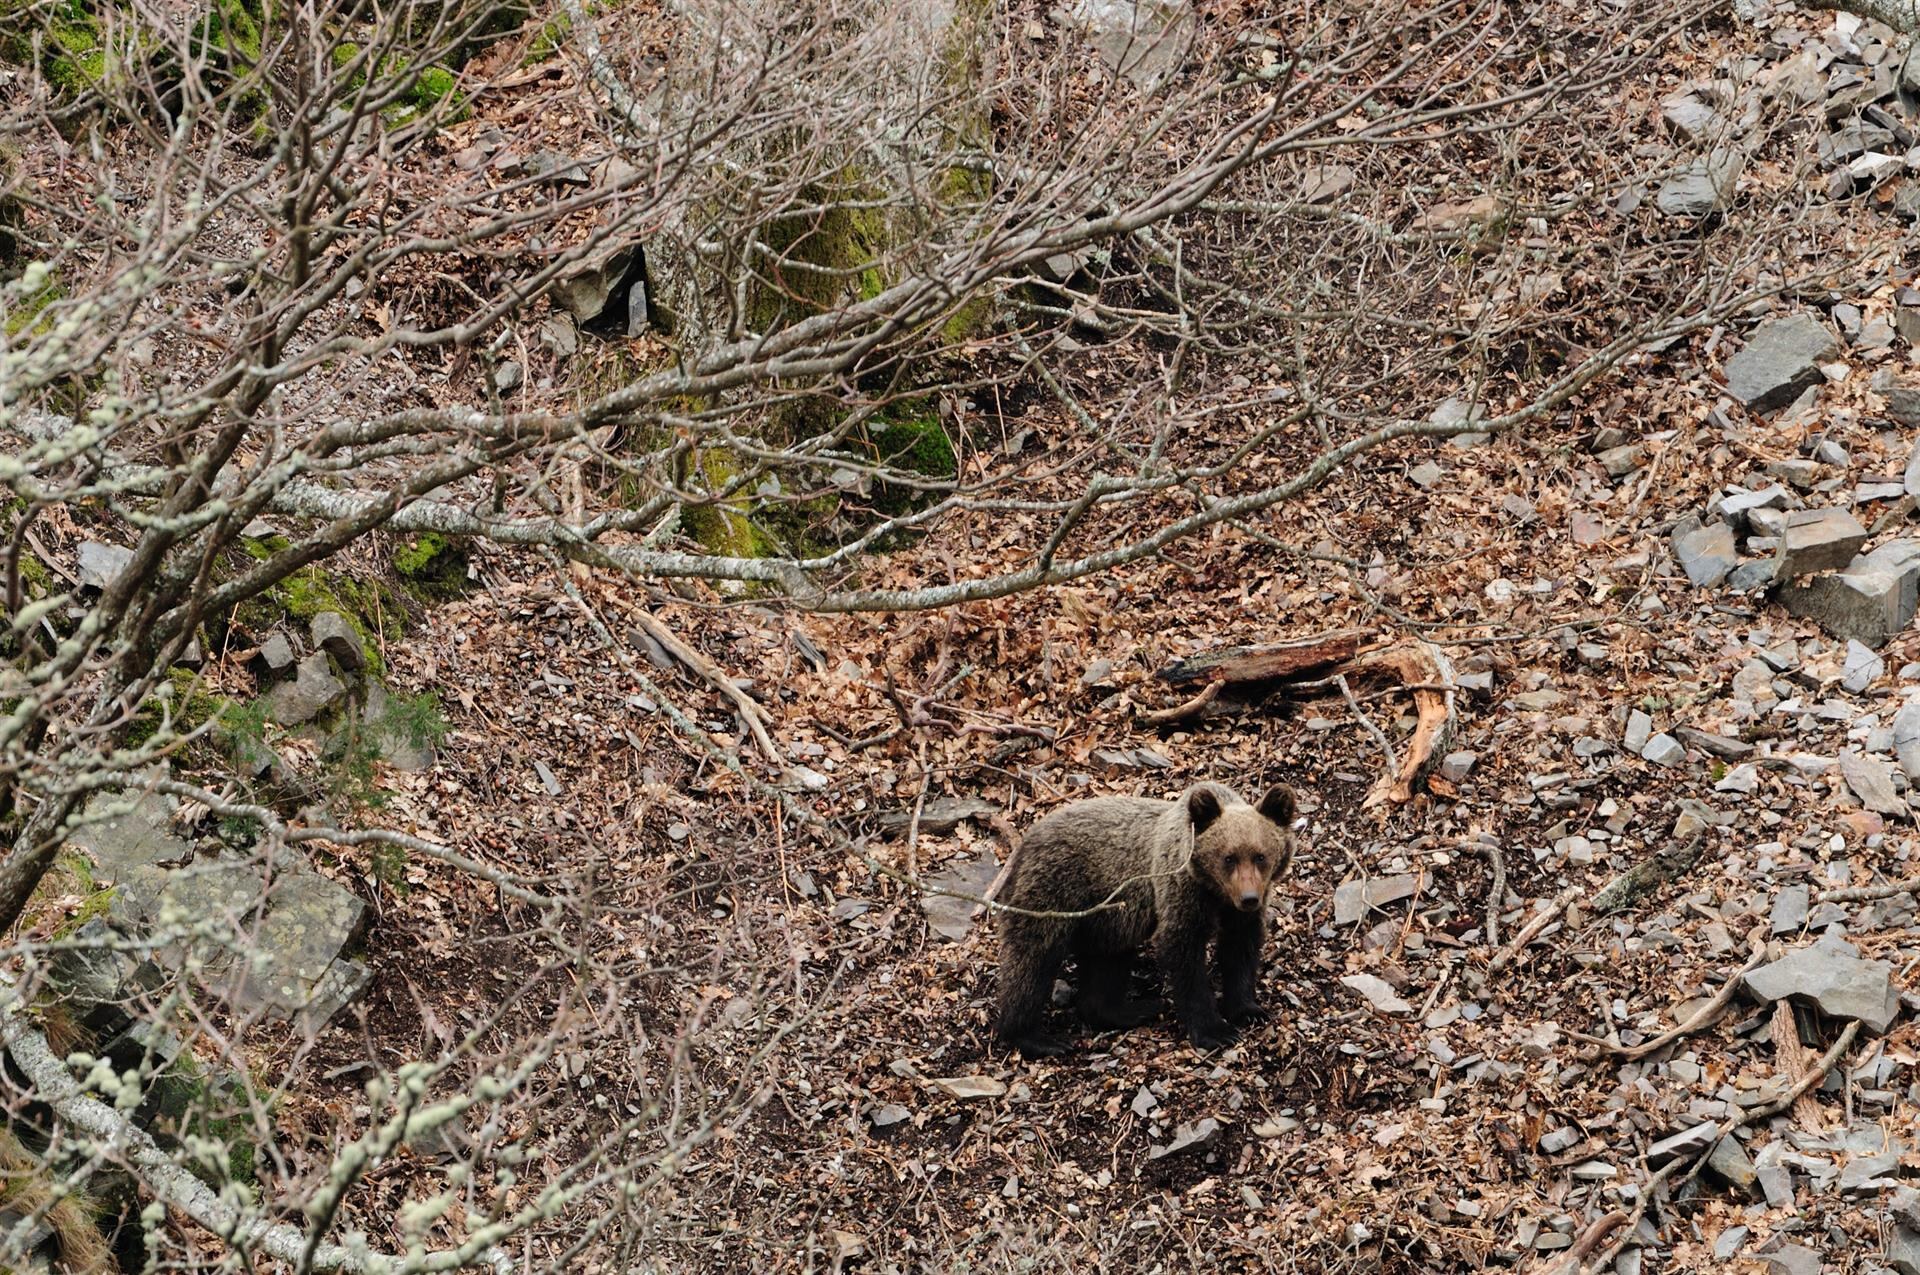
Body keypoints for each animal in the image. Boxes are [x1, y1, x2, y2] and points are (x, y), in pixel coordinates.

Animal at [998, 775, 1297, 1052]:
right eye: (1229, 858)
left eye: (1260, 856)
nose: (1249, 898)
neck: (1215, 892)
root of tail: (1024, 842)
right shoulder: (1181, 891)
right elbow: (1183, 954)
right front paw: (1215, 1031)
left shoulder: (1237, 913)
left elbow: (1240, 949)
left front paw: (1248, 1010)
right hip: (1055, 888)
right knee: (1034, 958)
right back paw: (1036, 1038)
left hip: (1109, 919)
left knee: (1107, 962)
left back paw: (1131, 1010)